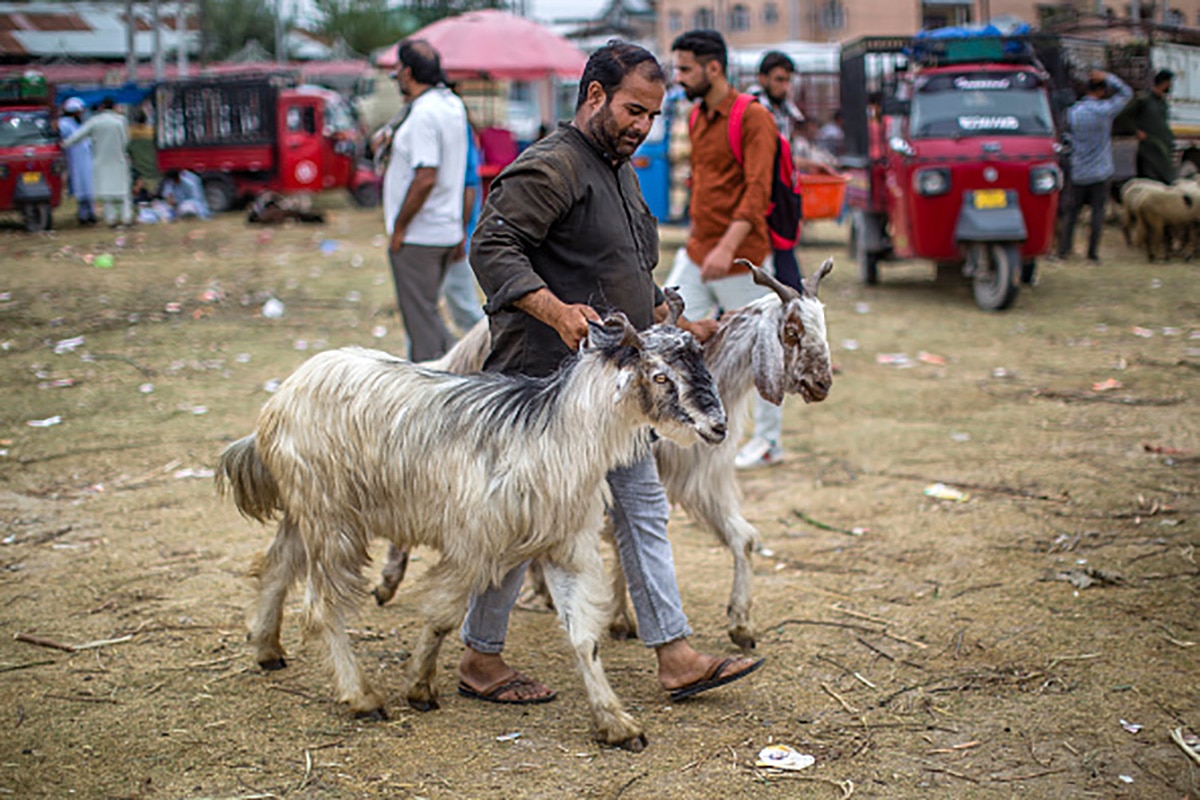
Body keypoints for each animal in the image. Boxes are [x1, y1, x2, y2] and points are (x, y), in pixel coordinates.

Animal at [216, 299, 727, 751]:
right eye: (660, 375)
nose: (717, 427)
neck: (554, 437)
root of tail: (283, 396)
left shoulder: (565, 547)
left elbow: (583, 635)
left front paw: (616, 723)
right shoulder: (473, 544)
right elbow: (443, 616)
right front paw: (419, 686)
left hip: (306, 510)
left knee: (276, 565)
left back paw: (266, 648)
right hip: (331, 516)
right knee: (321, 606)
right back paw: (361, 697)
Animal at [373, 259, 835, 651]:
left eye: (823, 328)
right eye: (792, 330)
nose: (822, 383)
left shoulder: (699, 479)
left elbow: (743, 537)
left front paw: (740, 625)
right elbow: (619, 539)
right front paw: (619, 617)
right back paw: (388, 581)